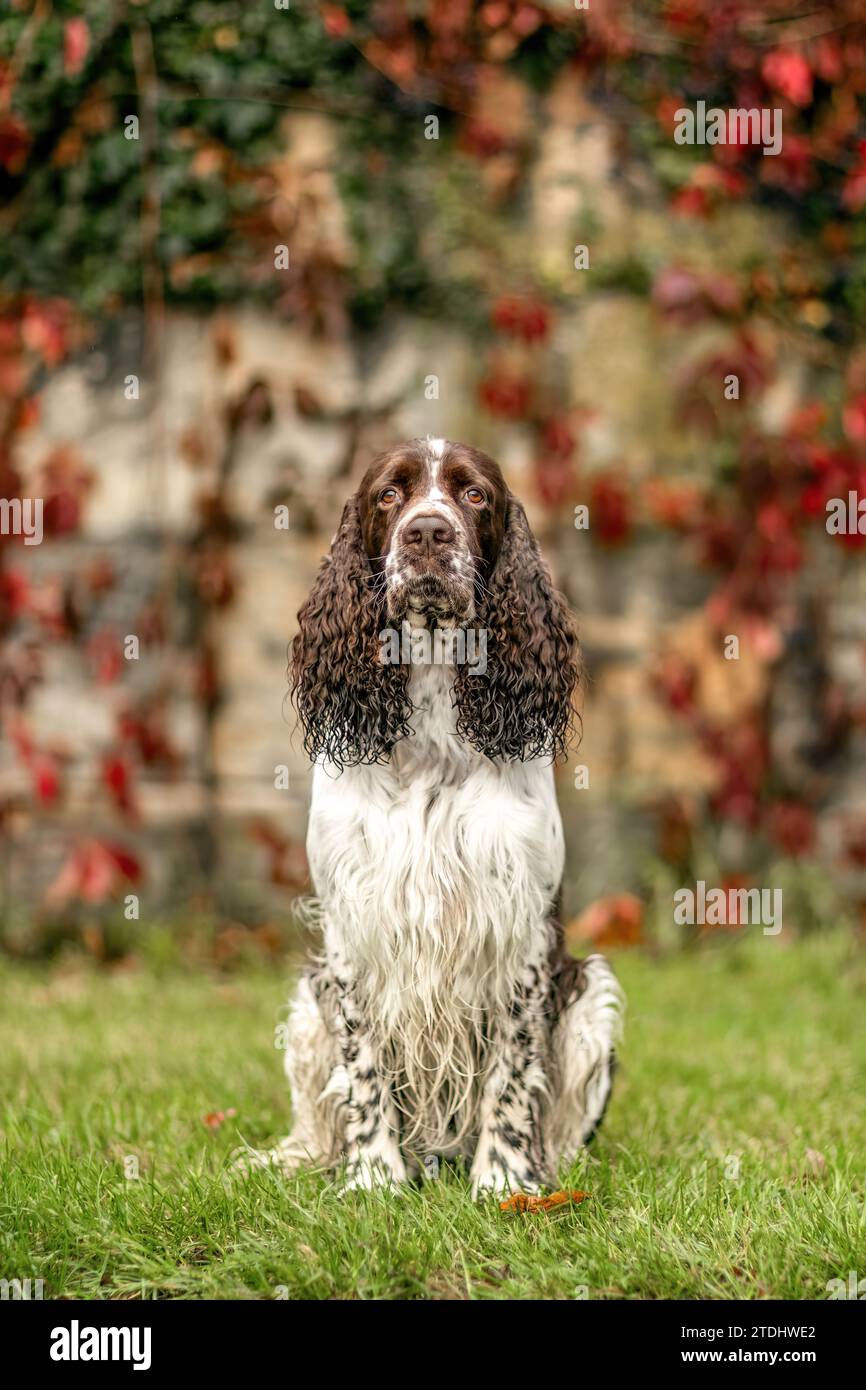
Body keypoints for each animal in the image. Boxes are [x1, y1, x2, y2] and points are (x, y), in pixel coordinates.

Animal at [250, 436, 622, 1195]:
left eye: (473, 494)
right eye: (389, 494)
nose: (427, 532)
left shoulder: (520, 927)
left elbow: (512, 1074)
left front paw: (504, 1180)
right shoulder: (351, 927)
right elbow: (364, 1071)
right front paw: (373, 1177)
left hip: (592, 997)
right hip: (307, 1003)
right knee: (314, 1121)